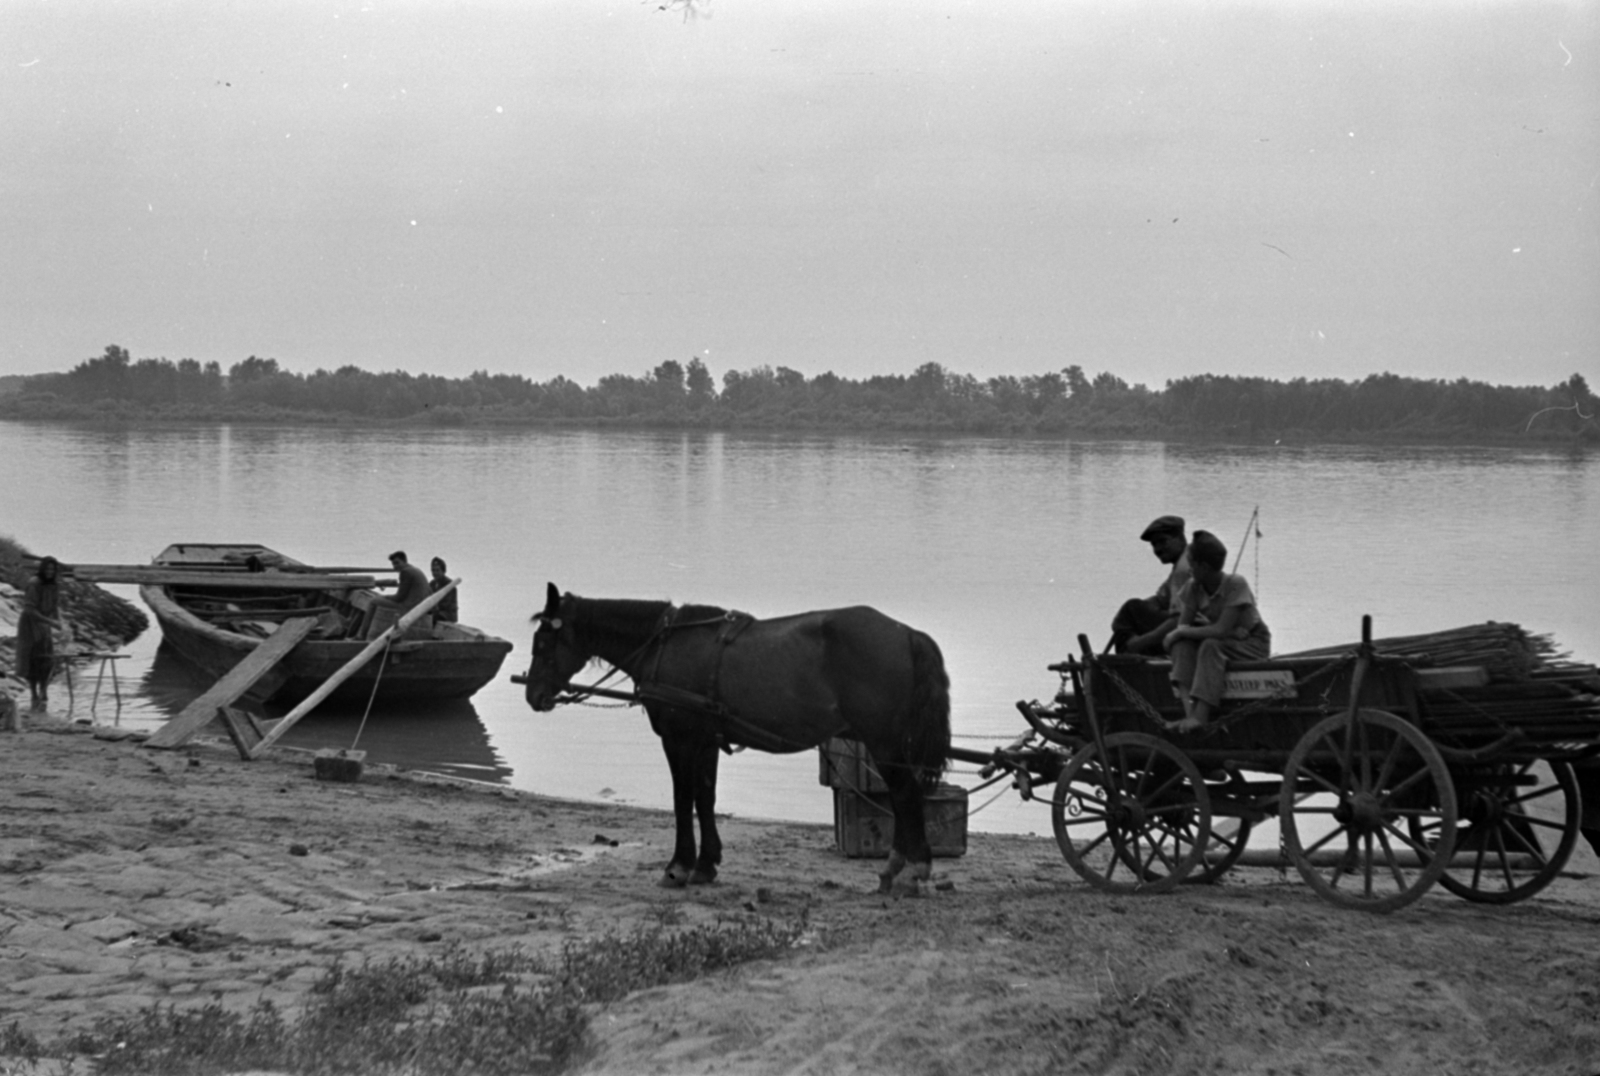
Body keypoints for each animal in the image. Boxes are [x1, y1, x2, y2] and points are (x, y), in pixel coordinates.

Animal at [524, 582, 947, 896]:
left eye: (542, 642)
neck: (665, 644)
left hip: (883, 741)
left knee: (905, 795)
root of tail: (907, 634)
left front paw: (678, 866)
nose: (533, 694)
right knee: (902, 796)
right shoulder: (706, 740)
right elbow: (705, 797)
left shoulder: (678, 739)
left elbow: (683, 798)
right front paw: (706, 863)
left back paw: (911, 869)